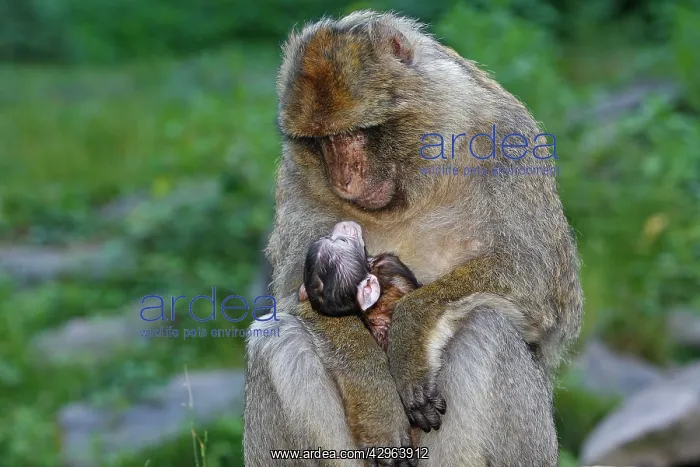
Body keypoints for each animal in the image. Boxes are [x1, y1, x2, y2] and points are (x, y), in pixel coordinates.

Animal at [244, 9, 582, 467]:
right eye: (320, 141)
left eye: (354, 133)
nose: (344, 179)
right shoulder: (297, 177)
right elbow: (294, 297)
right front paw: (376, 398)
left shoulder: (509, 140)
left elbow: (536, 277)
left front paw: (408, 333)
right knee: (277, 338)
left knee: (487, 327)